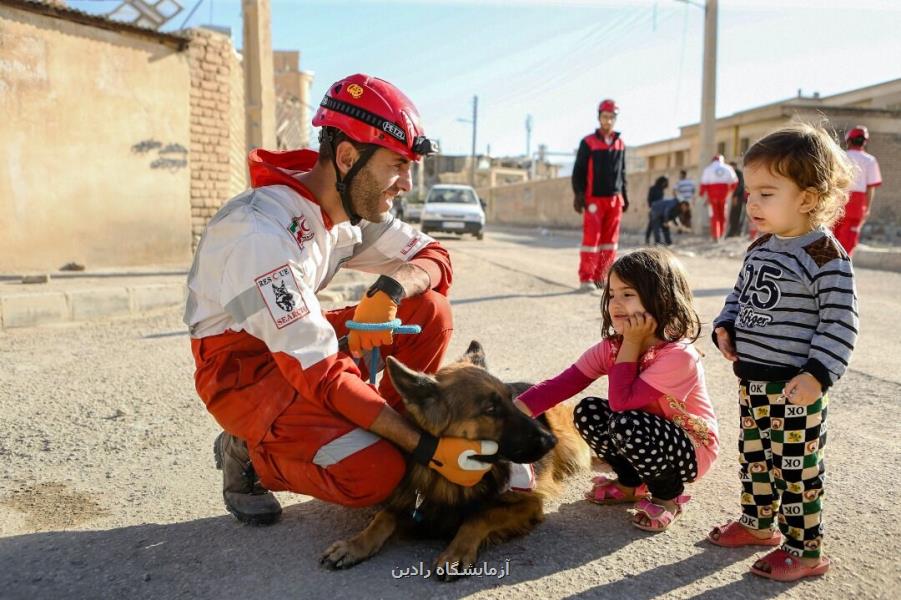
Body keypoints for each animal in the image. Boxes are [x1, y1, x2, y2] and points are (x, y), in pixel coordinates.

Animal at [318, 342, 592, 580]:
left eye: (510, 399)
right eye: (491, 409)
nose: (550, 440)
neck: (448, 479)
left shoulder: (528, 504)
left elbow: (479, 516)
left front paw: (455, 553)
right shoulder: (414, 499)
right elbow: (383, 516)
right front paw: (355, 544)